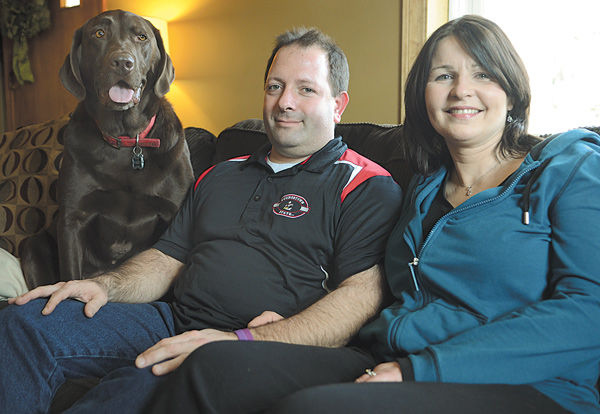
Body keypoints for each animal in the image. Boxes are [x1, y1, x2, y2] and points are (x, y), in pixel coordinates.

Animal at [21, 9, 193, 288]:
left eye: (142, 37)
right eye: (99, 33)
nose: (123, 62)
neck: (126, 141)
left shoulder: (172, 216)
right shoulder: (71, 221)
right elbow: (69, 277)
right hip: (32, 244)